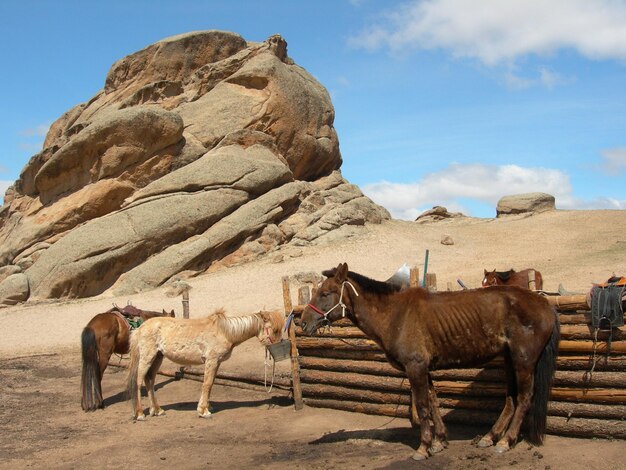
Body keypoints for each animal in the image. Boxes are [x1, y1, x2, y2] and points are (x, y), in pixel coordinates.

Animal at [127, 306, 282, 420]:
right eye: (274, 330)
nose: (279, 346)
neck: (225, 332)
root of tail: (140, 328)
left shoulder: (217, 362)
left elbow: (211, 383)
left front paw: (207, 406)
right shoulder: (211, 360)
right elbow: (206, 384)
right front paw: (203, 411)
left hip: (158, 357)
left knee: (150, 380)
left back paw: (157, 410)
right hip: (147, 357)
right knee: (138, 381)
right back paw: (140, 413)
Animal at [300, 262, 560, 460]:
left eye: (325, 293)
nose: (303, 322)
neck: (395, 314)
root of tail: (545, 304)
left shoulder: (415, 368)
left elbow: (423, 405)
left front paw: (423, 447)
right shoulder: (424, 369)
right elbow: (434, 402)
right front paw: (439, 441)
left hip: (523, 361)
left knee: (524, 398)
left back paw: (506, 441)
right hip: (509, 359)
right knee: (511, 399)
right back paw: (490, 436)